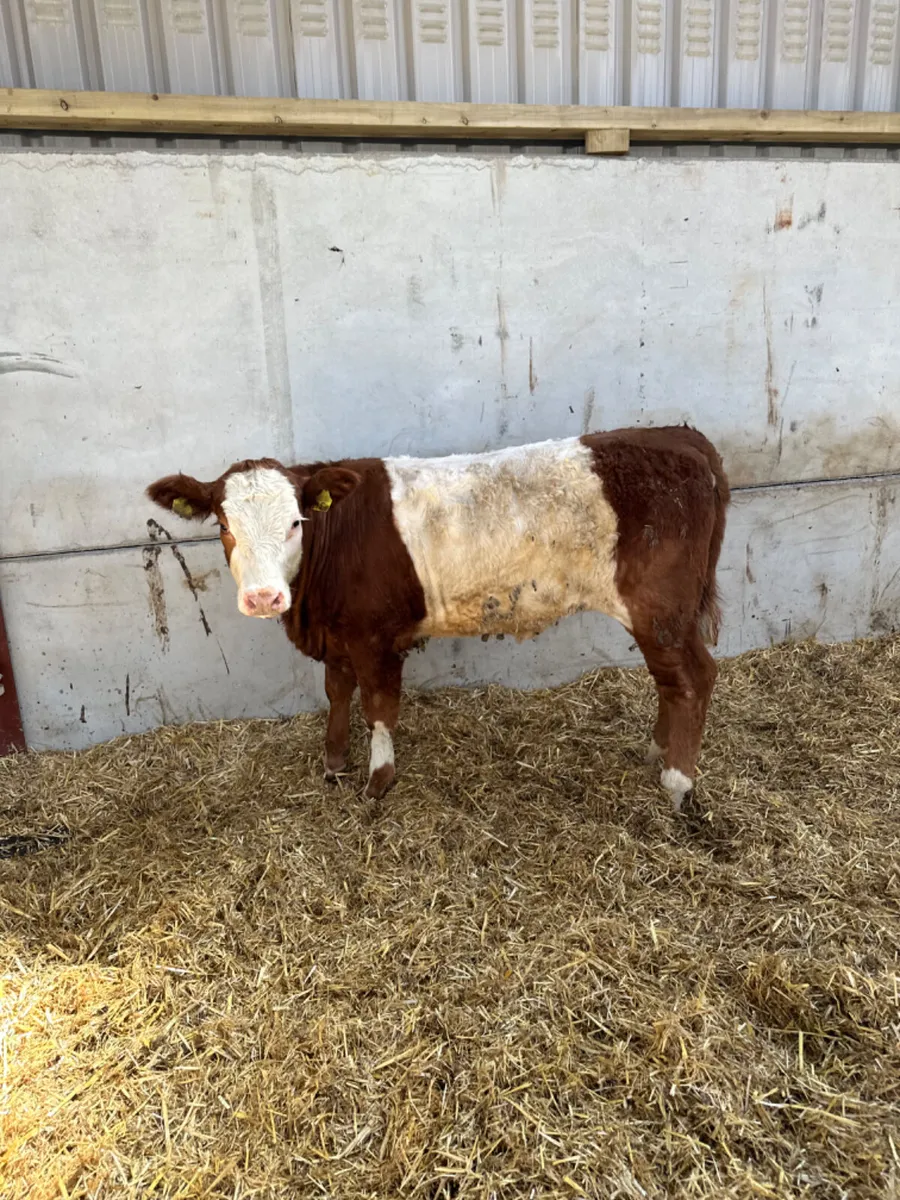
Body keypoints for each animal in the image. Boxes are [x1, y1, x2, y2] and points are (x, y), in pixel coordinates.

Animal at [147, 426, 729, 811]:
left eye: (295, 522)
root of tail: (681, 437)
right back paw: (655, 752)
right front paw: (334, 764)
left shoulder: (375, 638)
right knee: (671, 683)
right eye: (224, 525)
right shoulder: (338, 636)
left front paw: (378, 782)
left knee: (692, 678)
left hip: (661, 610)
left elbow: (379, 707)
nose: (264, 597)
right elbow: (337, 694)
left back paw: (678, 783)